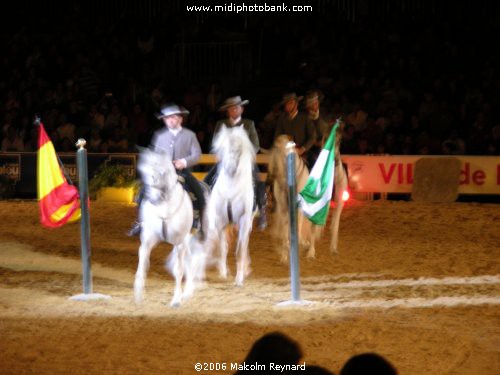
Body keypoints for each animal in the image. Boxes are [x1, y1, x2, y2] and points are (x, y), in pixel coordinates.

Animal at [134, 148, 206, 306]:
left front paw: (176, 300)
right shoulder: (148, 241)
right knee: (190, 261)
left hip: (192, 239)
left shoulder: (180, 243)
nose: (153, 199)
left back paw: (187, 292)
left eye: (161, 173)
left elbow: (178, 270)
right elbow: (142, 264)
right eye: (143, 172)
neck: (164, 208)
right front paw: (138, 295)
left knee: (194, 260)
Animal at [204, 125, 256, 286]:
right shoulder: (219, 220)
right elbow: (221, 248)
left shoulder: (244, 221)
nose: (230, 167)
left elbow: (239, 250)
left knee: (244, 246)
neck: (231, 189)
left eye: (239, 149)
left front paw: (239, 280)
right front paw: (222, 273)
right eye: (222, 148)